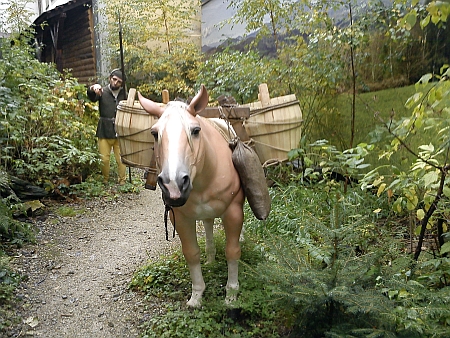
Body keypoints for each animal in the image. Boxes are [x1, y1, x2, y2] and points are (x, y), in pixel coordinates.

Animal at [139, 85, 244, 308]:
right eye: (154, 133)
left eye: (195, 131)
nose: (174, 185)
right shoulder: (181, 218)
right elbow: (191, 253)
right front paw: (197, 295)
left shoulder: (233, 211)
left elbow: (232, 251)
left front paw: (231, 295)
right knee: (208, 226)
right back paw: (211, 259)